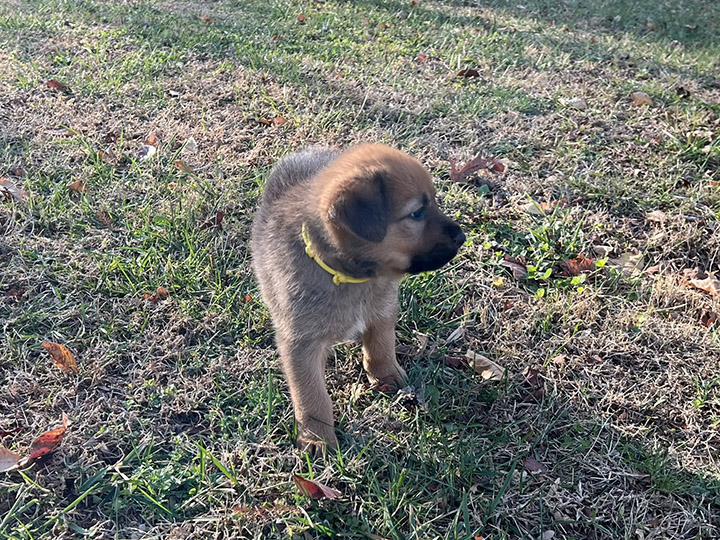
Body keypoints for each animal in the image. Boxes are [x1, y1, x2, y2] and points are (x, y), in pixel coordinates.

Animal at [252, 143, 466, 452]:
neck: (349, 275)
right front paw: (317, 437)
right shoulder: (300, 344)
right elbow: (311, 394)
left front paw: (385, 374)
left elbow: (380, 345)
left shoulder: (382, 310)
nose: (462, 237)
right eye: (417, 213)